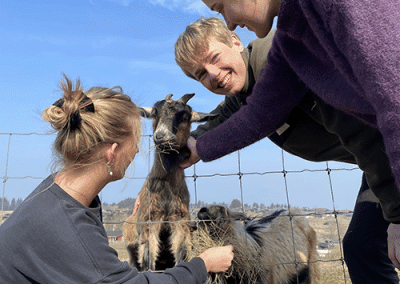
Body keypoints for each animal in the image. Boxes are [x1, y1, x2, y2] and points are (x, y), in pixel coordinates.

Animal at [123, 92, 217, 270]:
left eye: (185, 116)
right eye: (155, 113)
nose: (161, 136)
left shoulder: (180, 222)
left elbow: (181, 255)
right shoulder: (150, 222)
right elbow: (149, 261)